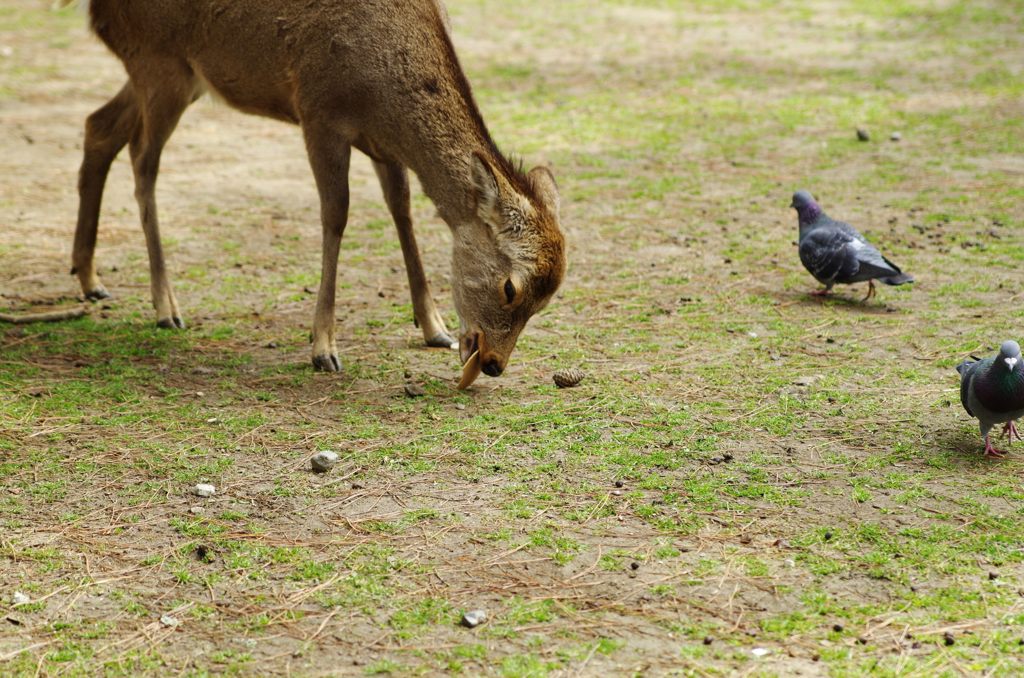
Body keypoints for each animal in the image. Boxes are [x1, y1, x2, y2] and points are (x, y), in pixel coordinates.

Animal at [65, 0, 569, 391]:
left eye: (546, 300)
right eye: (510, 287)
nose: (494, 364)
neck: (382, 96)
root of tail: (94, 8)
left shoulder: (384, 146)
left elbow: (402, 212)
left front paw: (434, 327)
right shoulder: (318, 112)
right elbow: (336, 214)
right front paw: (323, 347)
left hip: (176, 76)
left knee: (98, 126)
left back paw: (89, 278)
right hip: (159, 62)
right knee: (142, 159)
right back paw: (165, 306)